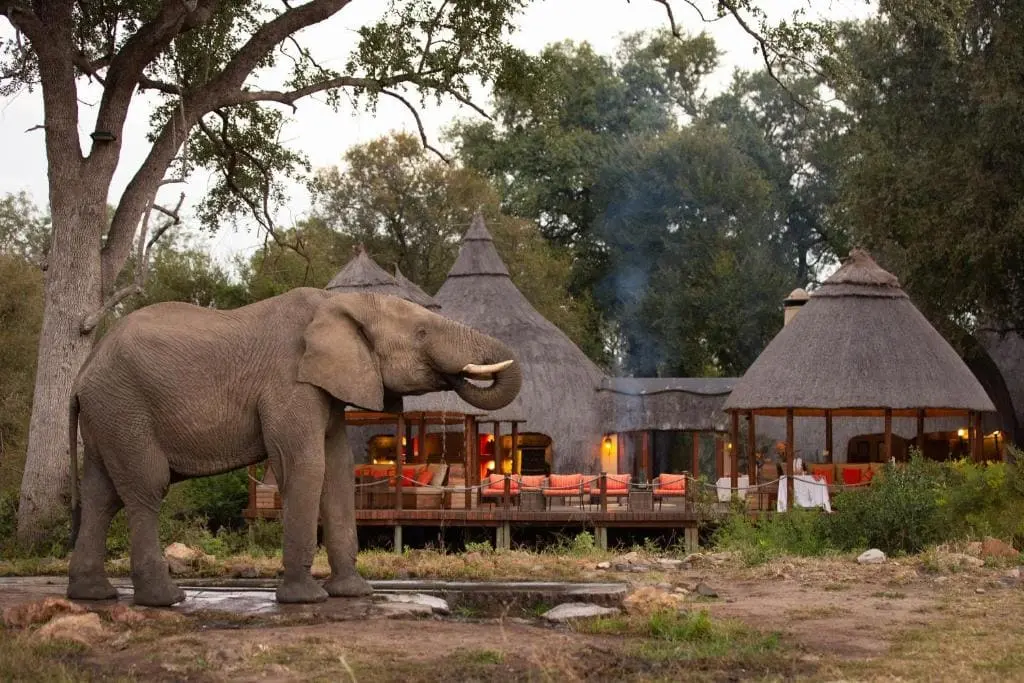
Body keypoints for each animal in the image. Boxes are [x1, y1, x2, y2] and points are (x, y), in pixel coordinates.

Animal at [66, 286, 520, 602]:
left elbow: (338, 469)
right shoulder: (290, 384)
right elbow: (306, 465)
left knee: (101, 495)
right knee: (146, 488)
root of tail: (84, 371)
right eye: (422, 333)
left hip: (108, 415)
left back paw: (93, 595)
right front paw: (306, 599)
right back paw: (164, 600)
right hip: (125, 407)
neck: (342, 303)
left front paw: (354, 593)